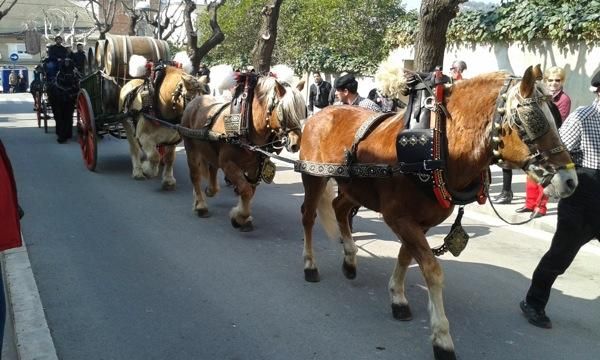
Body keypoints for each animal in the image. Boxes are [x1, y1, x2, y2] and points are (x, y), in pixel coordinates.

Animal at [118, 54, 210, 190]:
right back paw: (138, 171)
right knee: (134, 148)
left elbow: (169, 158)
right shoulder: (144, 137)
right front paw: (148, 170)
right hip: (128, 126)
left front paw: (168, 180)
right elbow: (154, 156)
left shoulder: (172, 140)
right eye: (190, 101)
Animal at [182, 67, 304, 231]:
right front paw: (240, 217)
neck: (244, 126)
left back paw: (210, 190)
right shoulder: (228, 164)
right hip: (190, 146)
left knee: (212, 167)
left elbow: (249, 191)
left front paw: (242, 216)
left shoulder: (254, 167)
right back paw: (201, 205)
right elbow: (245, 189)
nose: (295, 143)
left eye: (302, 111)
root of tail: (195, 100)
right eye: (284, 111)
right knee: (195, 175)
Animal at [298, 65, 580, 360]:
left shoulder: (421, 223)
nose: (570, 181)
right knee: (308, 216)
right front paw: (442, 337)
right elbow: (432, 269)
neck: (439, 145)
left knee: (339, 208)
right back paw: (310, 265)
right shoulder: (398, 218)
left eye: (555, 117)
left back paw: (350, 260)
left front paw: (398, 298)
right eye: (532, 120)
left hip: (354, 188)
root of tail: (320, 114)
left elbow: (406, 257)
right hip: (313, 177)